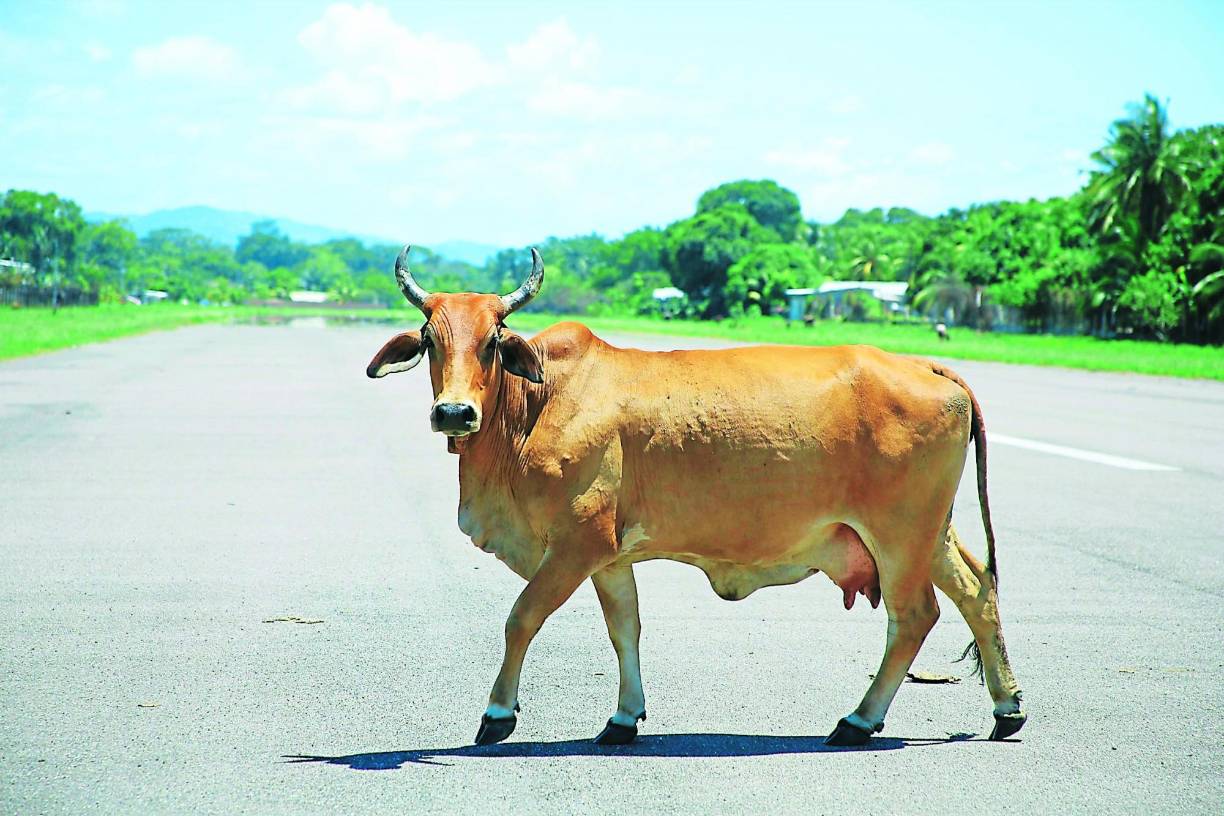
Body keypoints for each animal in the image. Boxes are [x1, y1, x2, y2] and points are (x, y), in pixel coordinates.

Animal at [367, 246, 1026, 748]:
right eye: (430, 339)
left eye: (492, 342)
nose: (454, 413)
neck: (538, 403)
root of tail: (926, 365)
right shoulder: (610, 556)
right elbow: (625, 628)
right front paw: (623, 718)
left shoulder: (577, 545)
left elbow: (520, 618)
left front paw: (498, 714)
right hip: (926, 535)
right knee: (976, 591)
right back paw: (1007, 708)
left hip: (900, 535)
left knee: (915, 615)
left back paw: (860, 720)